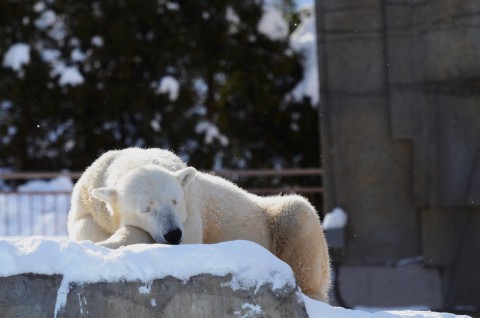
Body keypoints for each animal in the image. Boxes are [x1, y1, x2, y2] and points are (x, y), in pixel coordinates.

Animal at [67, 148, 330, 302]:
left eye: (175, 200)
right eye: (146, 208)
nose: (173, 234)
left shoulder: (191, 209)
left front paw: (113, 242)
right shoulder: (87, 198)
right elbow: (84, 225)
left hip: (270, 217)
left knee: (299, 214)